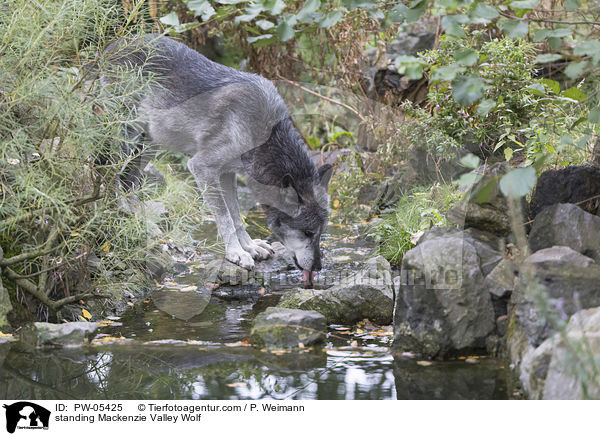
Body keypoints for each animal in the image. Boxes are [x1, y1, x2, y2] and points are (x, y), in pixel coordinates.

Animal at [105, 35, 332, 286]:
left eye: (321, 232)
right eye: (307, 233)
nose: (319, 267)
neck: (265, 135)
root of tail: (113, 45)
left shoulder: (227, 173)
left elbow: (236, 216)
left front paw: (250, 247)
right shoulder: (202, 167)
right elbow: (225, 219)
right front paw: (236, 253)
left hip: (151, 143)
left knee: (129, 182)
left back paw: (144, 224)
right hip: (127, 135)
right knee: (111, 175)